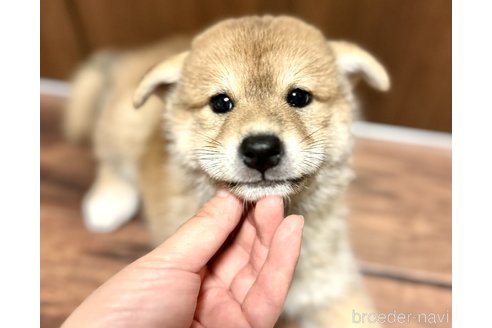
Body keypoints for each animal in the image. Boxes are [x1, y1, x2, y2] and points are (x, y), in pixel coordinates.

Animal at [65, 15, 388, 328]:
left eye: (299, 97)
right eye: (221, 102)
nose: (261, 149)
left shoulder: (332, 289)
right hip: (125, 125)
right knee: (109, 159)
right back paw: (108, 201)